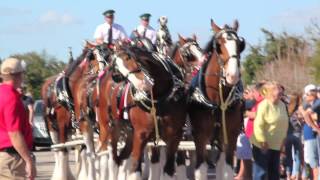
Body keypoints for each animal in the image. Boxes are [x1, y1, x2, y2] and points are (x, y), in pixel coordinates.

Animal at [189, 19, 246, 179]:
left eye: (240, 45)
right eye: (218, 45)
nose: (233, 75)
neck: (216, 103)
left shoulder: (230, 137)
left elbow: (227, 170)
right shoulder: (200, 137)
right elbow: (200, 169)